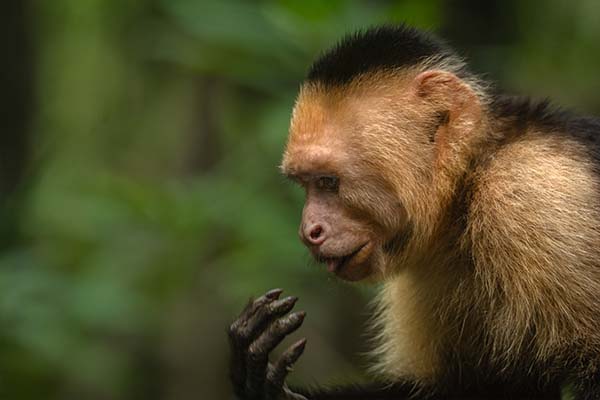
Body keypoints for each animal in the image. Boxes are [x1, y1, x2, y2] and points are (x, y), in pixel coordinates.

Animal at [226, 25, 600, 400]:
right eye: (304, 183)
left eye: (328, 182)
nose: (308, 231)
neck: (467, 186)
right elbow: (473, 387)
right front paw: (264, 384)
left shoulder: (535, 202)